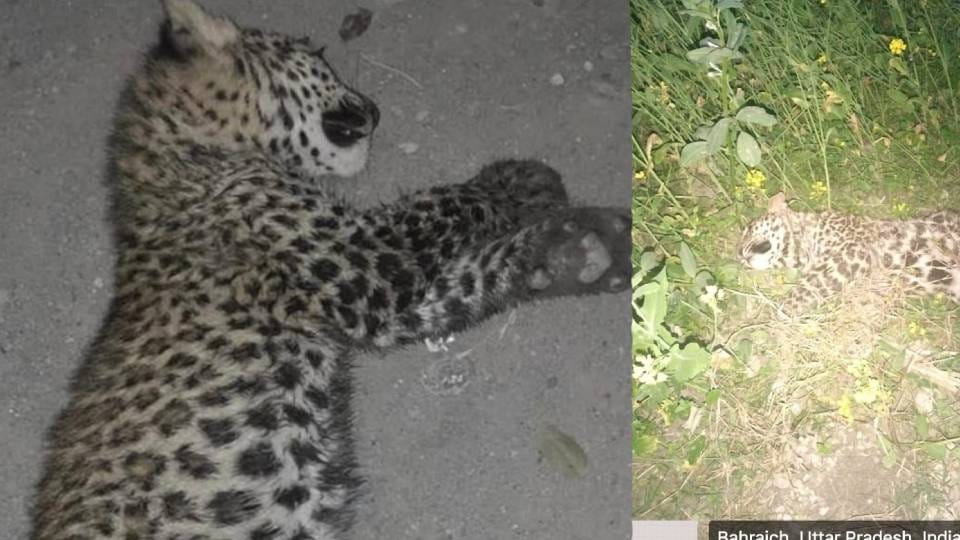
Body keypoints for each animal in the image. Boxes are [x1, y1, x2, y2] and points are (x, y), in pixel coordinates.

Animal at [29, 1, 630, 539]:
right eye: (319, 59)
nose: (375, 108)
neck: (187, 155)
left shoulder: (370, 302)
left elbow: (473, 275)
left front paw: (578, 254)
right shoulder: (360, 259)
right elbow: (440, 203)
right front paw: (517, 182)